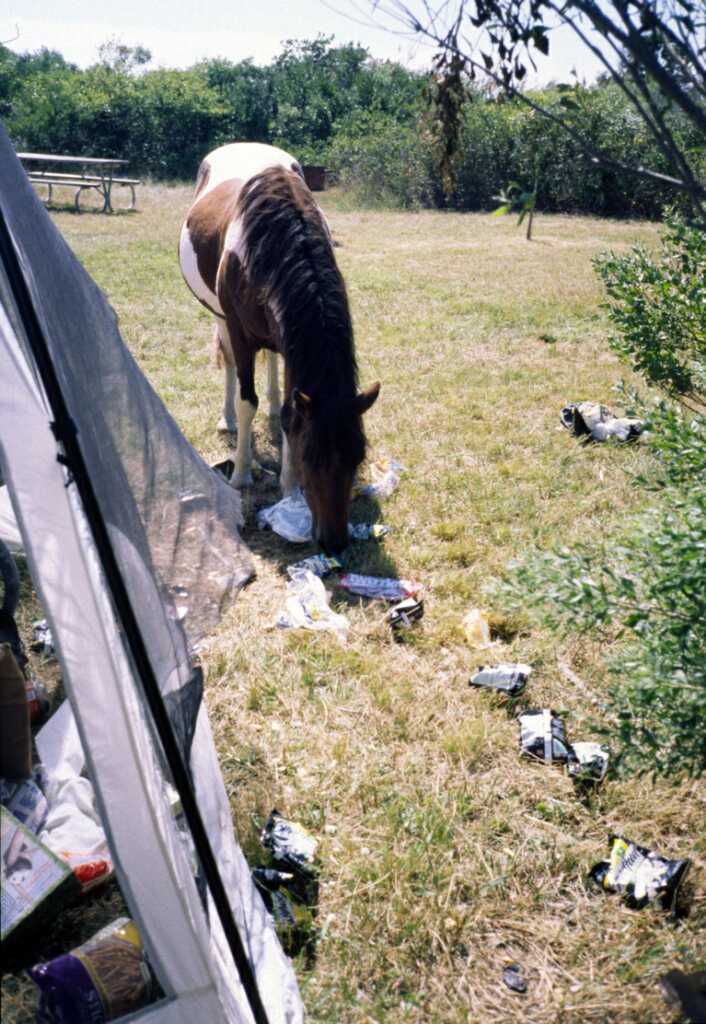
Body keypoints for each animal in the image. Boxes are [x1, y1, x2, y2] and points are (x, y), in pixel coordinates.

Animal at [179, 142, 379, 554]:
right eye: (309, 458)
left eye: (358, 455)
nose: (334, 543)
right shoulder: (240, 333)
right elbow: (246, 398)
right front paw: (241, 473)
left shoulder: (291, 342)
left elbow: (291, 410)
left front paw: (288, 487)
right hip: (220, 317)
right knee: (229, 366)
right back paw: (228, 420)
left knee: (271, 361)